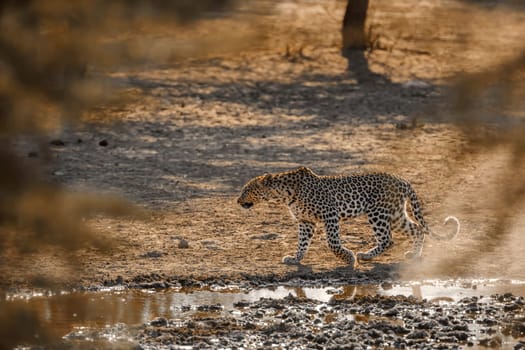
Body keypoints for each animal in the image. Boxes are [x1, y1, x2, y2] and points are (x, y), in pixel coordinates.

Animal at [237, 167, 458, 268]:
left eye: (246, 189)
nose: (238, 201)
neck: (284, 194)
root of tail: (403, 180)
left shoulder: (330, 215)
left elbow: (333, 243)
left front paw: (349, 258)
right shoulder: (306, 221)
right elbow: (302, 244)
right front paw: (295, 259)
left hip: (378, 213)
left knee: (388, 239)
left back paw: (364, 256)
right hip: (395, 214)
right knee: (417, 229)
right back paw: (415, 255)